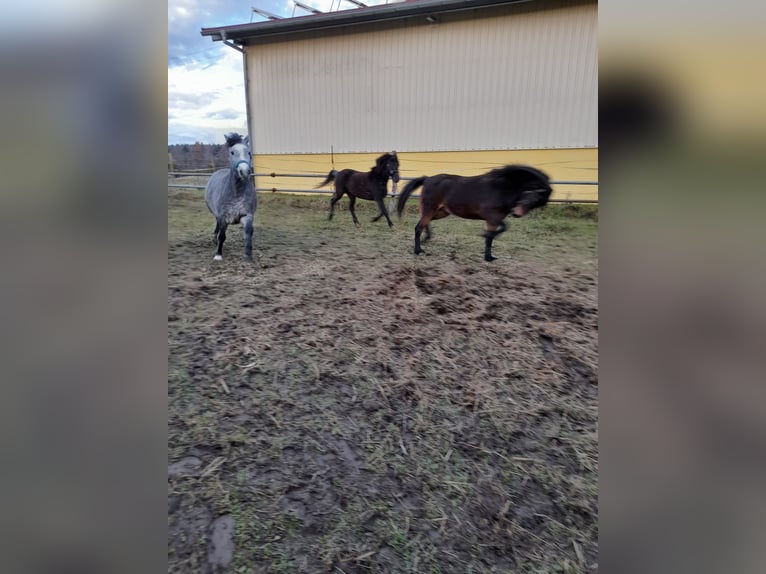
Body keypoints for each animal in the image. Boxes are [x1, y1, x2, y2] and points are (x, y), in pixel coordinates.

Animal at [204, 133, 256, 261]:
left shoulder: (247, 215)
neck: (236, 192)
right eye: (232, 152)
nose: (245, 171)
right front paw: (218, 255)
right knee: (217, 226)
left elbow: (248, 233)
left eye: (248, 152)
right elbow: (222, 236)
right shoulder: (223, 218)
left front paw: (248, 256)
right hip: (217, 215)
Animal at [396, 164, 553, 262]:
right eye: (534, 197)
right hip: (431, 209)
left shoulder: (494, 218)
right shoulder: (491, 216)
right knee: (418, 227)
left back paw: (426, 239)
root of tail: (427, 178)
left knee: (424, 223)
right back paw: (418, 250)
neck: (501, 187)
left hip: (441, 211)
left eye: (538, 203)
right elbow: (500, 230)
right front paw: (486, 246)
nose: (516, 213)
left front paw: (489, 255)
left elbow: (494, 235)